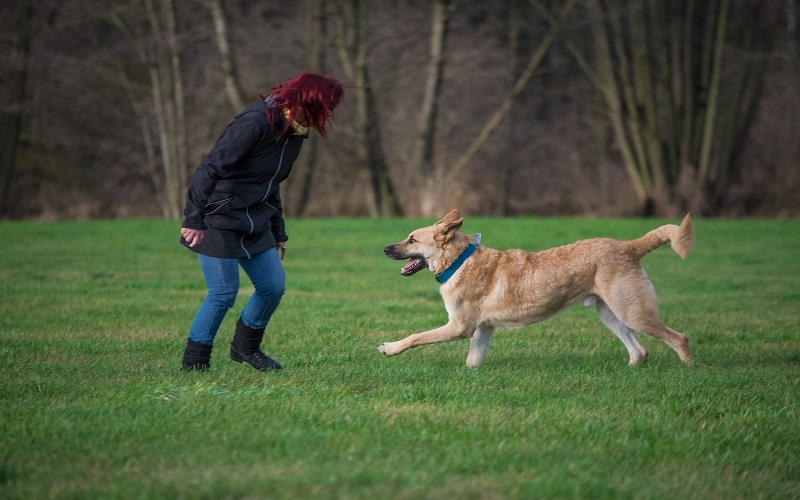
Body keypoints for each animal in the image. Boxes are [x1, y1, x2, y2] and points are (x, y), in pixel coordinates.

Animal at [382, 208, 692, 368]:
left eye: (412, 239)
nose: (385, 249)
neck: (459, 260)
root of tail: (629, 247)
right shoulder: (482, 329)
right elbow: (473, 360)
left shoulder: (460, 326)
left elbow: (416, 337)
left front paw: (389, 348)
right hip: (611, 313)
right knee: (640, 350)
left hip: (633, 312)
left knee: (679, 338)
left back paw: (688, 370)